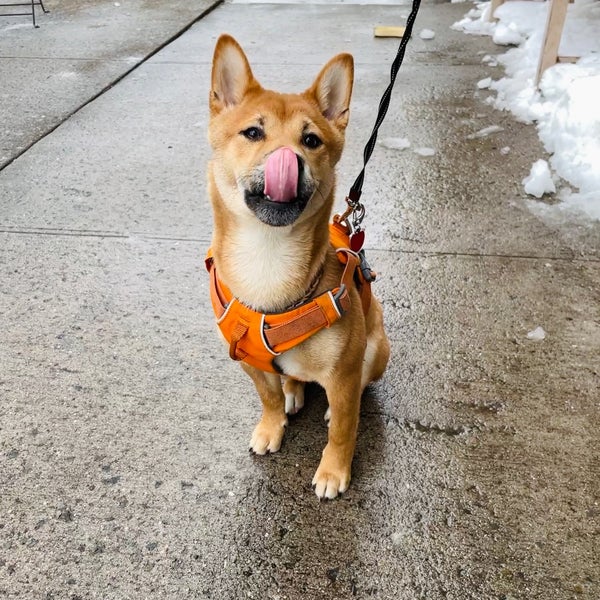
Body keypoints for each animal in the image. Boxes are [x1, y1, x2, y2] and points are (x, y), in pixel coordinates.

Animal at [206, 35, 392, 500]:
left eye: (311, 139)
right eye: (253, 132)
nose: (289, 160)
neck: (268, 259)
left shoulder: (343, 373)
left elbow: (344, 428)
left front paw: (333, 471)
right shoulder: (247, 361)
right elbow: (267, 398)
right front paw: (271, 426)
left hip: (378, 348)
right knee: (290, 381)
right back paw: (293, 389)